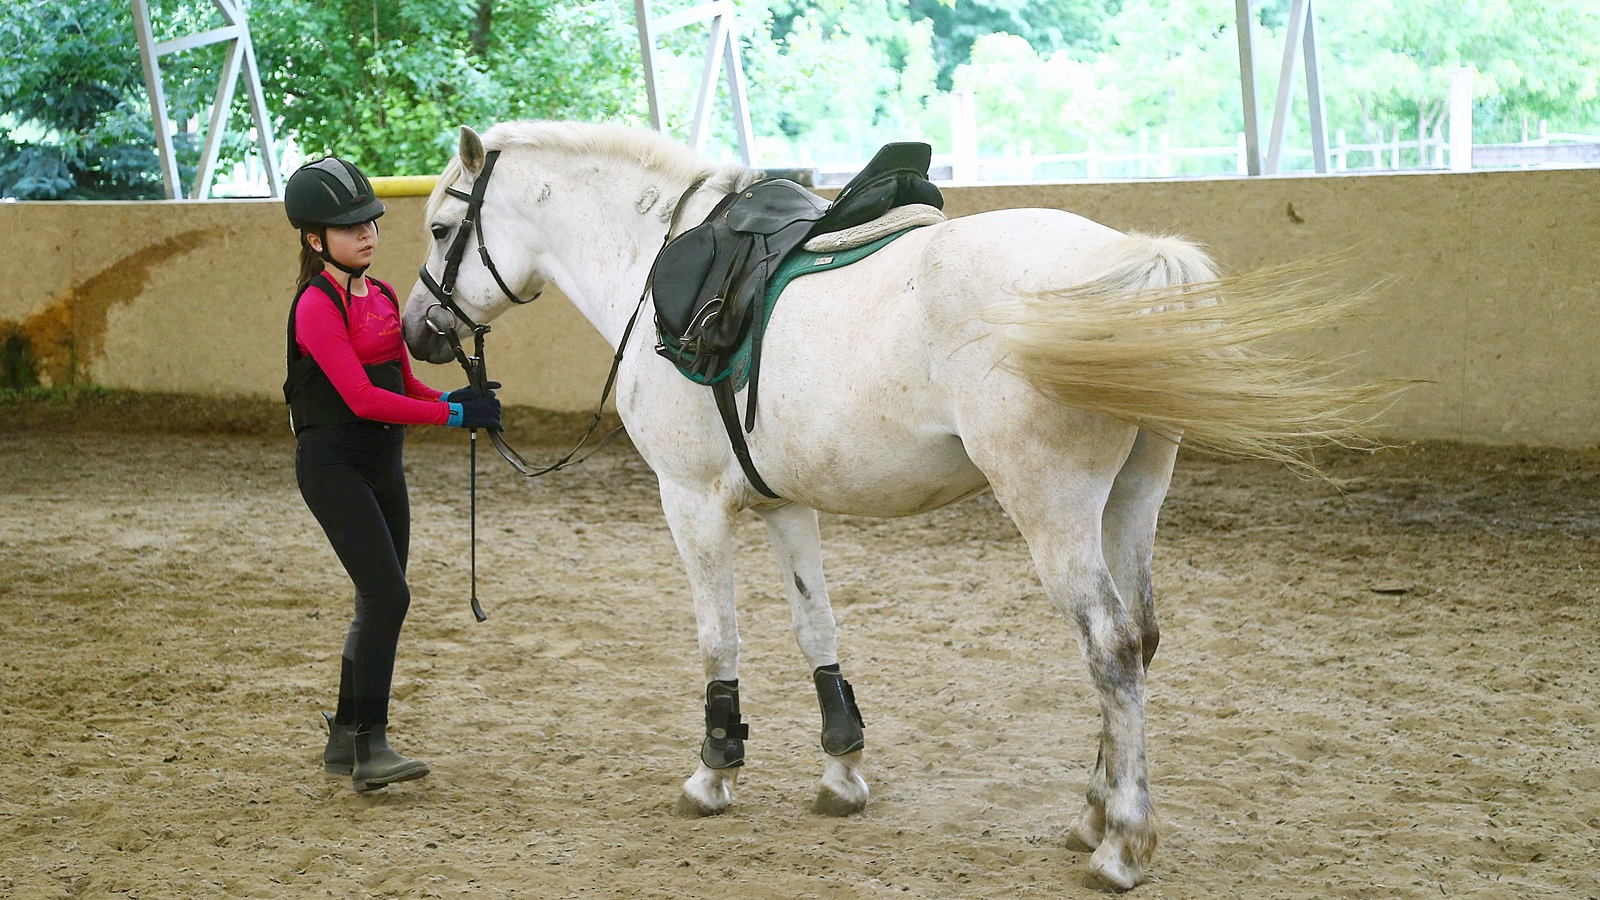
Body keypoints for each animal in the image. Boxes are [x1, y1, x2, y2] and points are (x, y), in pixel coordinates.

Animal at [400, 120, 1376, 890]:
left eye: (444, 226)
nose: (418, 330)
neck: (649, 263)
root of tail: (1128, 266)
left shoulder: (691, 501)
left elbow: (721, 637)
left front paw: (715, 773)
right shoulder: (784, 502)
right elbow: (815, 628)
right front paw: (841, 770)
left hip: (1053, 510)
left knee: (1108, 647)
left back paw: (1122, 846)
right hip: (1132, 501)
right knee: (1141, 636)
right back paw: (1094, 814)